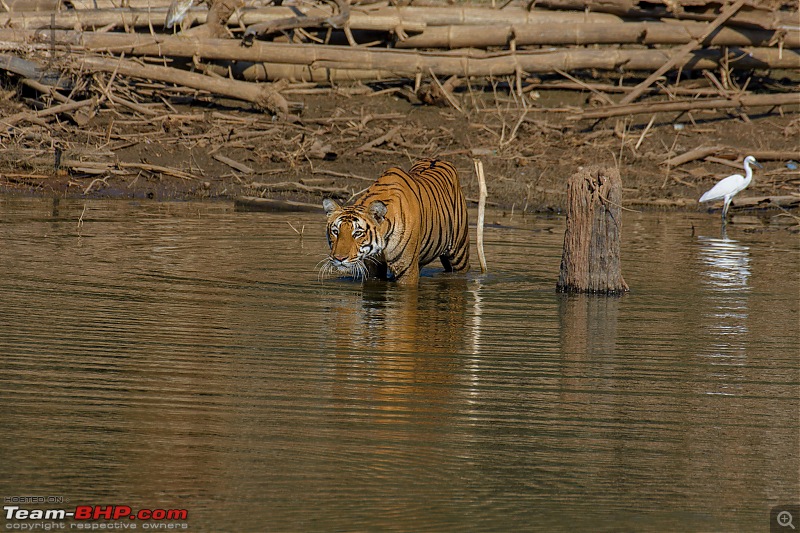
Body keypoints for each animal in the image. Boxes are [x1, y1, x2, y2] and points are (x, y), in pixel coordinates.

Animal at [318, 157, 468, 284]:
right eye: (335, 231)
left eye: (358, 233)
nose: (339, 259)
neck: (381, 245)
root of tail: (437, 159)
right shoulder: (374, 267)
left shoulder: (407, 270)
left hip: (459, 253)